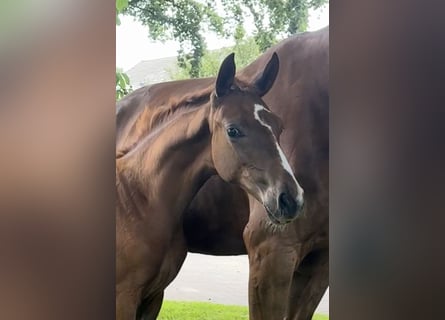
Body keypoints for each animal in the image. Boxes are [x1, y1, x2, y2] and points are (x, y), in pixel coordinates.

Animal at [114, 53, 304, 320]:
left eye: (279, 126)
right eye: (233, 130)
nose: (290, 199)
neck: (135, 199)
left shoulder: (152, 298)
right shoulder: (124, 297)